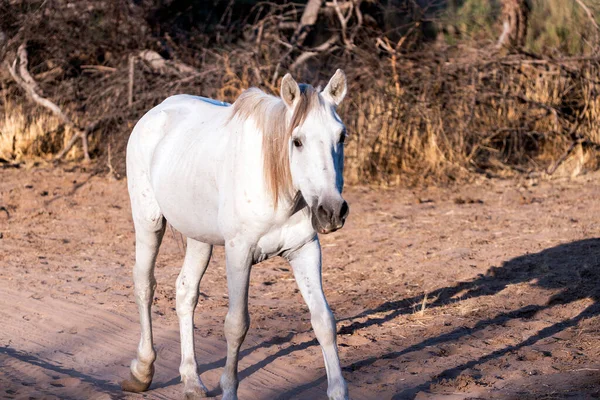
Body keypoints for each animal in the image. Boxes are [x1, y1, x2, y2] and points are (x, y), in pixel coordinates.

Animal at [119, 70, 350, 398]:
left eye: (341, 136)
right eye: (297, 141)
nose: (331, 211)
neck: (277, 187)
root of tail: (156, 111)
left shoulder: (305, 251)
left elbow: (324, 321)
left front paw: (338, 390)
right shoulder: (239, 254)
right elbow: (236, 325)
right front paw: (228, 388)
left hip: (199, 238)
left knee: (185, 292)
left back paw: (191, 380)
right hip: (148, 221)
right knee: (144, 284)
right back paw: (142, 370)